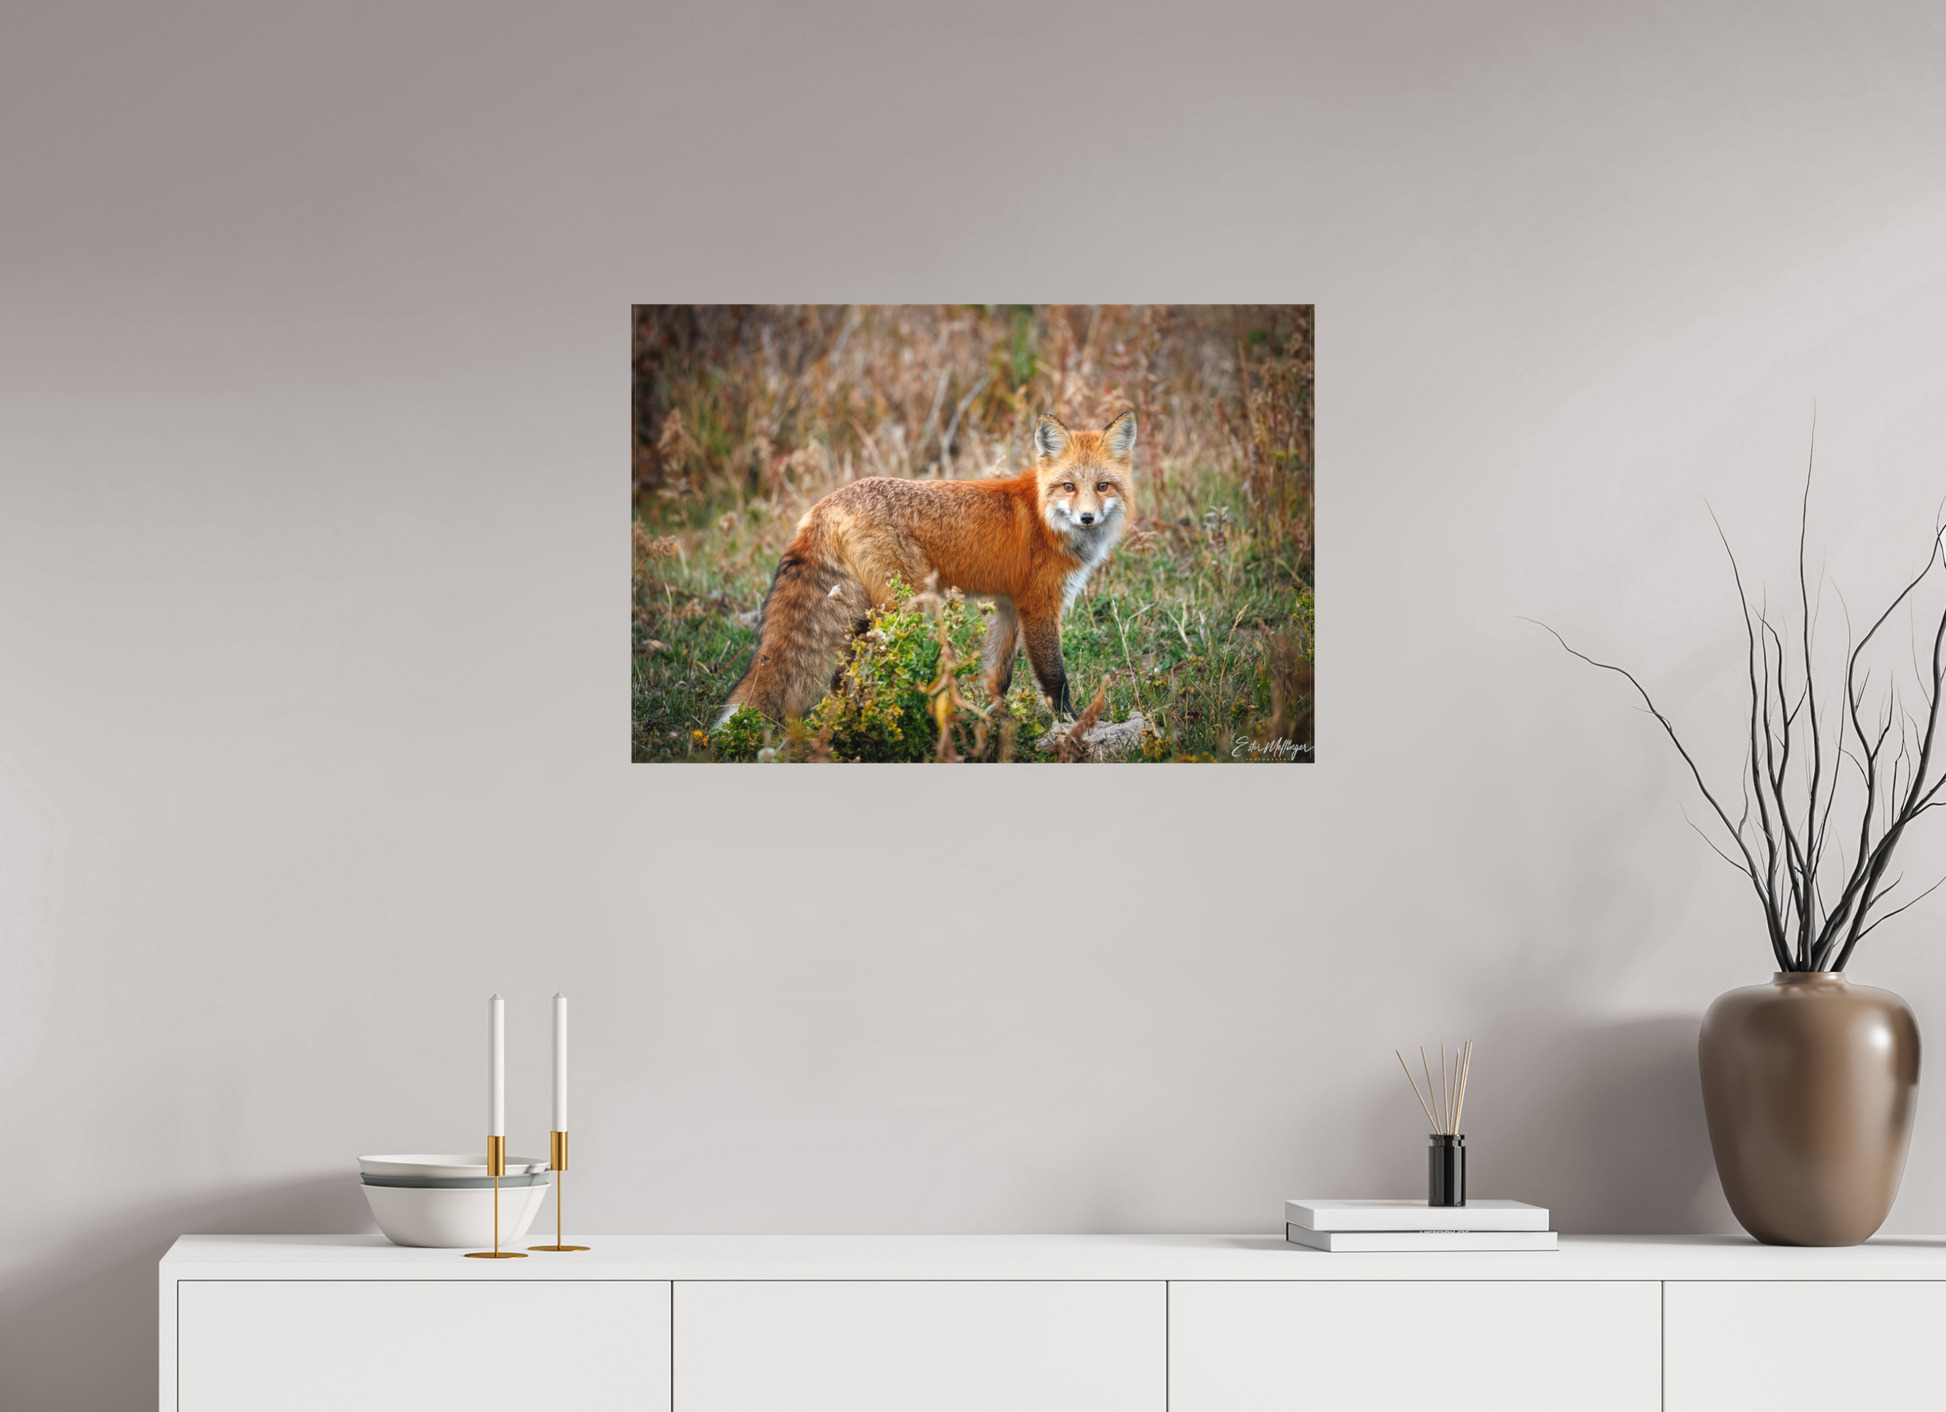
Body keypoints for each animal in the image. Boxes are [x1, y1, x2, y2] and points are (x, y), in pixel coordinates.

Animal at [718, 410, 1136, 725]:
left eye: (1102, 486)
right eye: (1069, 487)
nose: (1086, 517)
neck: (1045, 519)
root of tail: (827, 504)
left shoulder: (1008, 605)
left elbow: (998, 677)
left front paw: (998, 723)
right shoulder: (1039, 605)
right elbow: (1055, 678)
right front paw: (1071, 725)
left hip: (859, 617)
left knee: (843, 676)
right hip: (910, 607)